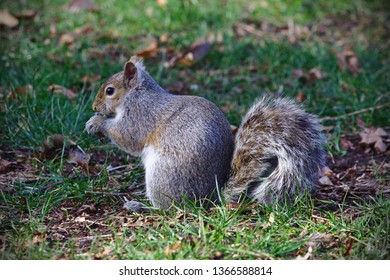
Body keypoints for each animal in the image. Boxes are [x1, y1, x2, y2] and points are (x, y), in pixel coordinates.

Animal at [85, 57, 326, 210]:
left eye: (110, 91)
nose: (94, 107)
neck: (137, 94)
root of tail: (210, 197)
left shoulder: (140, 115)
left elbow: (127, 137)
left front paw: (97, 123)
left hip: (163, 175)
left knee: (172, 208)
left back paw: (142, 206)